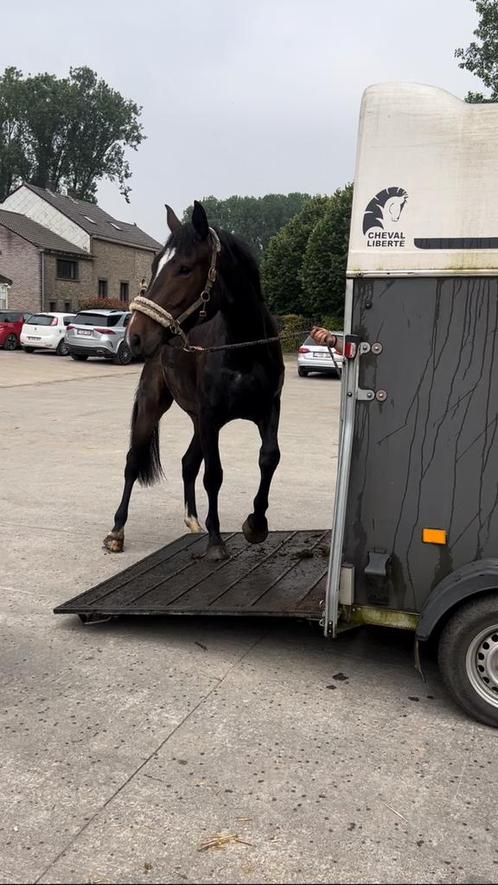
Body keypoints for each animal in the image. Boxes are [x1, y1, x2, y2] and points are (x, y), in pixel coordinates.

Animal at [104, 200, 284, 560]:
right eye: (155, 264)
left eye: (185, 268)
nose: (135, 336)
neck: (244, 349)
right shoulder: (211, 417)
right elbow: (214, 475)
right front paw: (216, 541)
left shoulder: (268, 409)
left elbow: (269, 458)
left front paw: (256, 524)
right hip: (155, 406)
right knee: (133, 461)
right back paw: (117, 531)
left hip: (197, 420)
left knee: (188, 463)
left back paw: (193, 521)